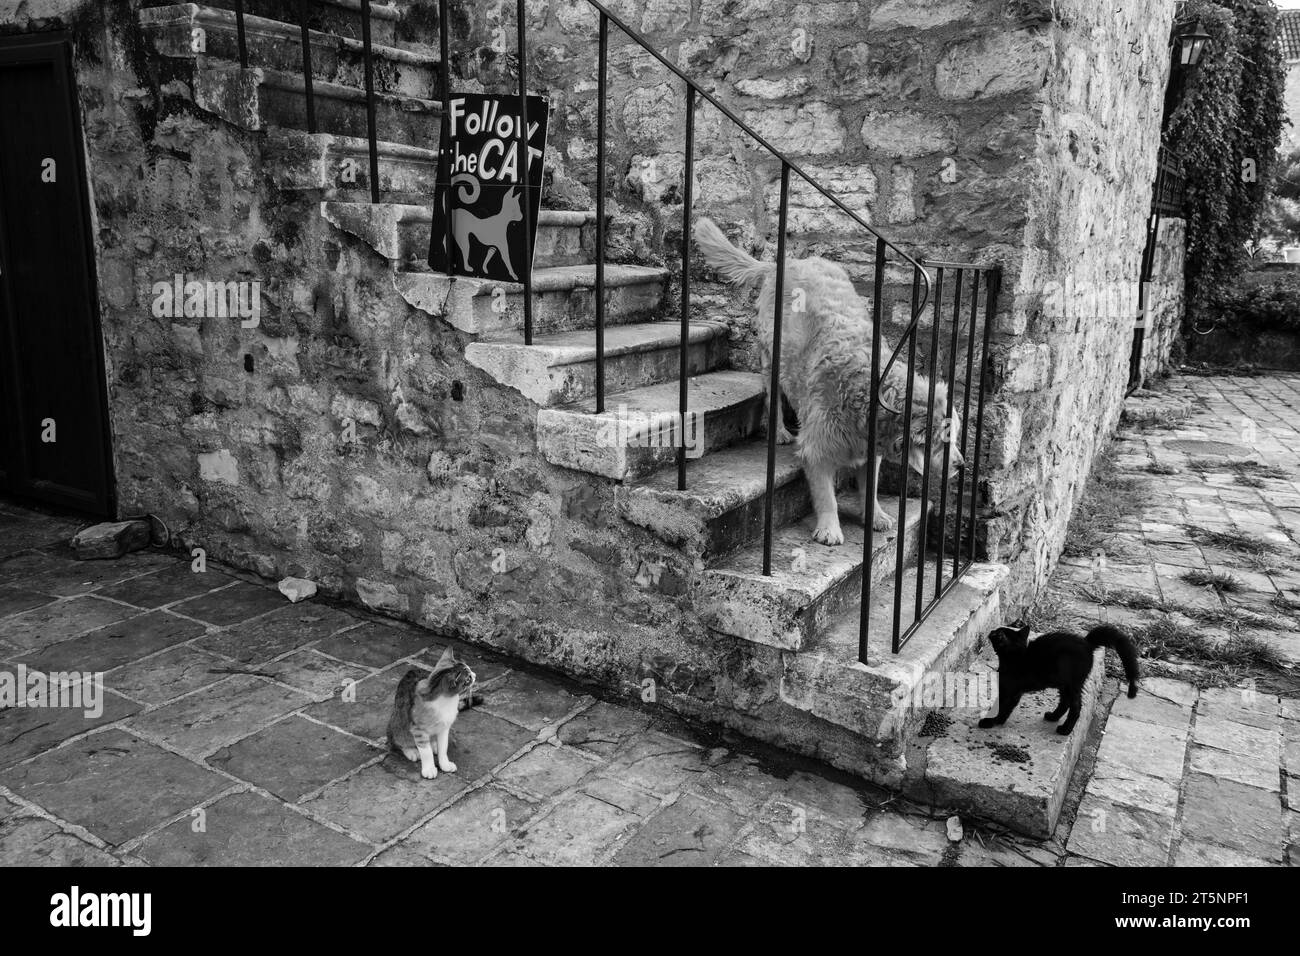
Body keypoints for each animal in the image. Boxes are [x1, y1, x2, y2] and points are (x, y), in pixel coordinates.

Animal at [696, 217, 961, 546]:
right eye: (943, 439)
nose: (962, 465)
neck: (869, 391)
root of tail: (783, 263)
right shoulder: (817, 449)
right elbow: (826, 495)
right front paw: (829, 528)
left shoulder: (870, 452)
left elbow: (870, 488)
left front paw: (875, 516)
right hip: (773, 358)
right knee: (772, 395)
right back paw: (780, 431)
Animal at [982, 624, 1138, 738]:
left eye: (996, 633)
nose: (991, 630)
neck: (1016, 656)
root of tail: (1087, 642)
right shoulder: (1013, 691)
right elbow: (1006, 706)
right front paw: (999, 720)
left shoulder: (1009, 689)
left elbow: (1001, 705)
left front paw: (990, 721)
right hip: (1064, 684)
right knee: (1065, 701)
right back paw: (1053, 716)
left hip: (1072, 684)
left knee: (1076, 706)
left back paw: (1065, 730)